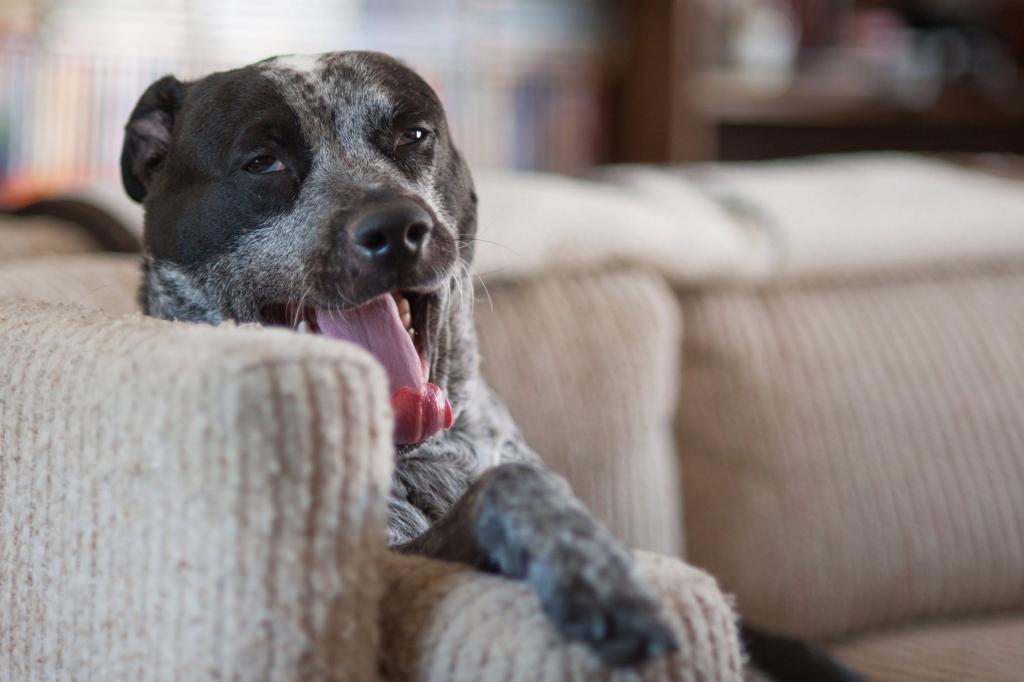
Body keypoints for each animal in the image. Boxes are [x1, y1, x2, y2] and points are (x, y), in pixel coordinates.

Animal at [121, 50, 864, 675]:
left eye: (414, 134)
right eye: (262, 162)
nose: (397, 228)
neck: (433, 455)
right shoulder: (387, 564)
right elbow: (511, 487)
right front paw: (595, 574)